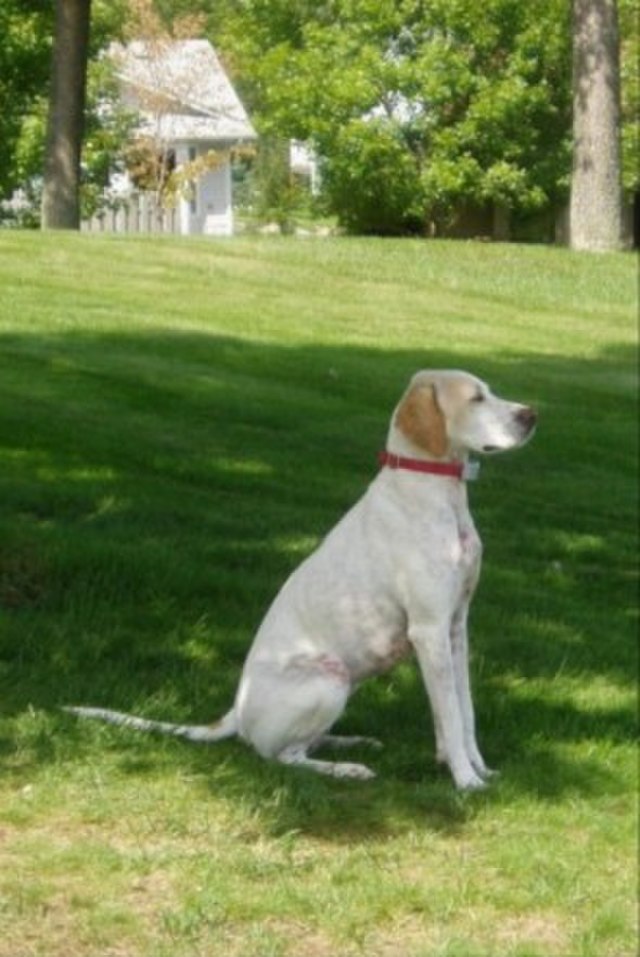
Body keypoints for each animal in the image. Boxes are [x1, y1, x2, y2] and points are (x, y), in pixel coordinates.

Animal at [66, 370, 536, 788]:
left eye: (490, 391)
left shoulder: (455, 627)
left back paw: (351, 741)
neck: (438, 497)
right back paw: (346, 770)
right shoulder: (429, 629)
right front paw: (465, 781)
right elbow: (452, 716)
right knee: (281, 757)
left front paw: (476, 768)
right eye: (476, 398)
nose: (531, 415)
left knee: (306, 743)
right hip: (330, 679)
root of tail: (236, 712)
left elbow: (463, 711)